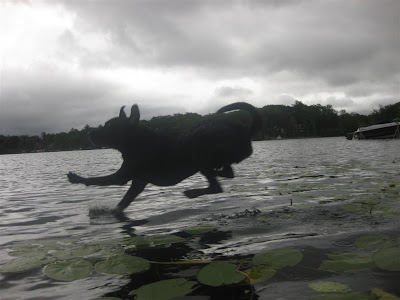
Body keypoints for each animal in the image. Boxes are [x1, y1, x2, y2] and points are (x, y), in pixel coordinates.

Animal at [68, 103, 262, 211]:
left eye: (110, 126)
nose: (90, 133)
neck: (136, 141)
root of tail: (246, 130)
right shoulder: (138, 182)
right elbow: (123, 203)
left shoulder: (122, 177)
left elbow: (97, 180)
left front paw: (77, 178)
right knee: (227, 172)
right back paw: (215, 173)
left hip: (199, 148)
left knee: (216, 186)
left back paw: (193, 191)